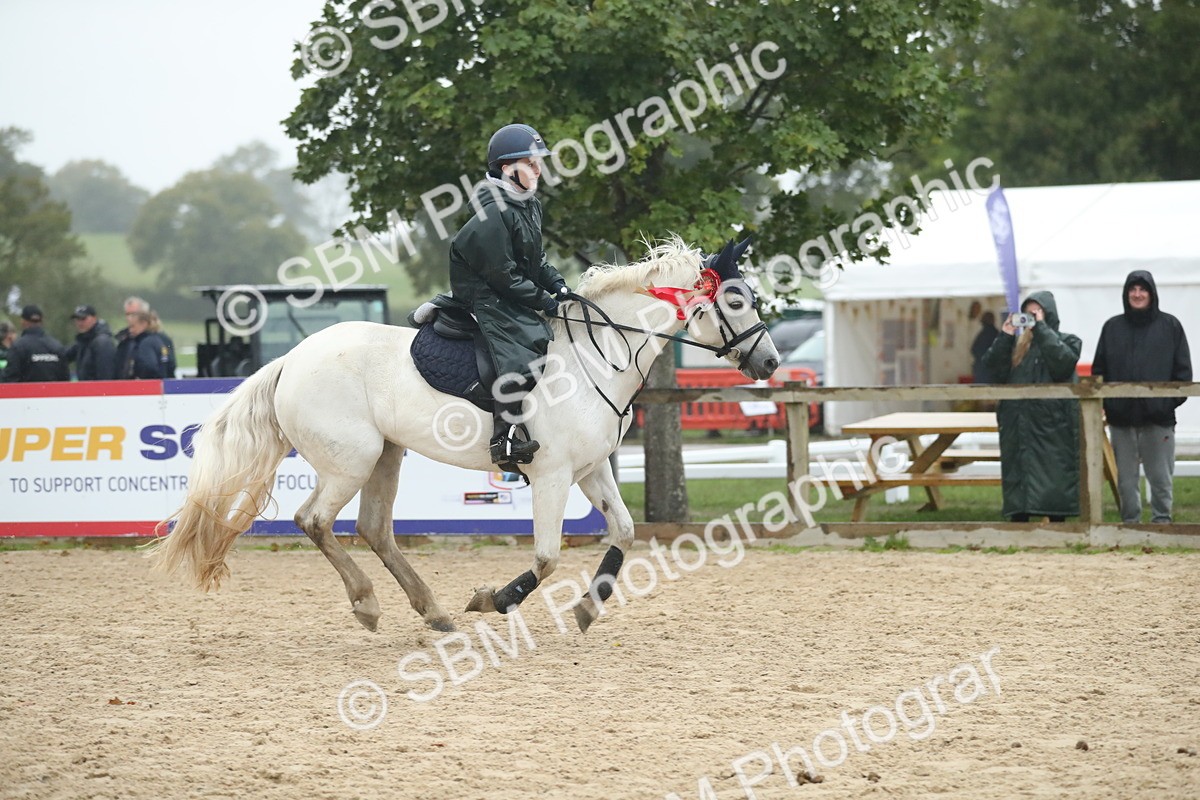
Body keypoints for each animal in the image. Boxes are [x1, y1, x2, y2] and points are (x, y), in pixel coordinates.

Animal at [147, 237, 780, 633]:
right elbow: (547, 556)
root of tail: (292, 359)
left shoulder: (591, 471)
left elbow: (623, 532)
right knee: (316, 521)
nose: (770, 362)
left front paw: (587, 609)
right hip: (351, 460)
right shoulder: (551, 476)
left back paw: (432, 611)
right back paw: (369, 604)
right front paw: (493, 600)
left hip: (386, 456)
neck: (596, 358)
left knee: (374, 528)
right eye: (735, 299)